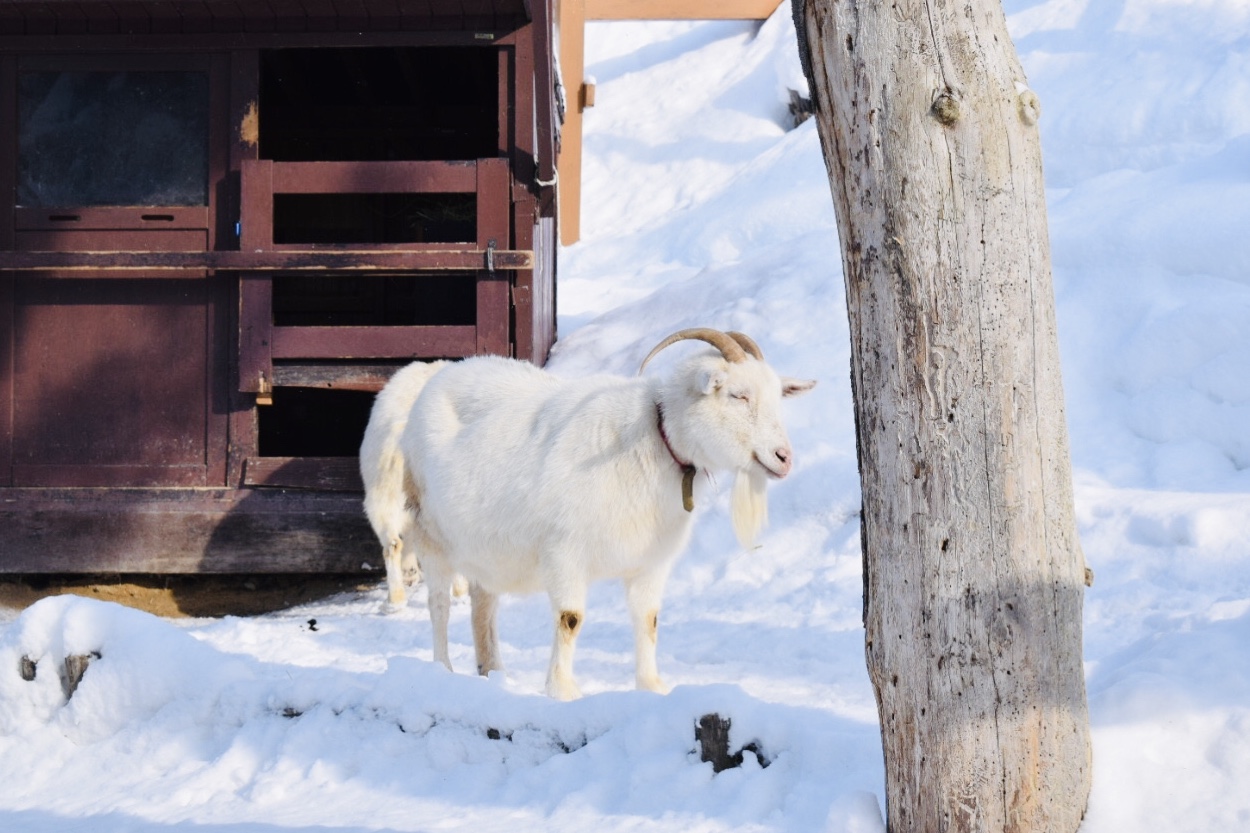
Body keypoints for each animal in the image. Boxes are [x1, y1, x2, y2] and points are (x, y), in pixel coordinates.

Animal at [395, 327, 815, 695]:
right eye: (737, 395)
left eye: (777, 396)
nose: (783, 457)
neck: (655, 438)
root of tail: (443, 374)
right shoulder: (565, 551)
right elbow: (570, 619)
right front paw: (562, 690)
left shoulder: (651, 561)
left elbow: (648, 620)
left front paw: (652, 686)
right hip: (430, 533)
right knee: (439, 605)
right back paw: (442, 670)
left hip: (486, 549)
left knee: (483, 603)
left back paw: (493, 672)